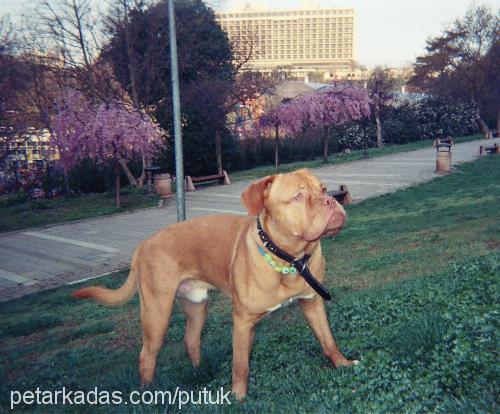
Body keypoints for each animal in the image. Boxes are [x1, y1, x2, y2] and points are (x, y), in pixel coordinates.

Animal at [73, 169, 356, 402]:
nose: (331, 200)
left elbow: (328, 340)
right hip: (157, 313)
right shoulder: (242, 321)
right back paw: (147, 392)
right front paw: (238, 396)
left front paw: (342, 363)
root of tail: (142, 245)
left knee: (190, 339)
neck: (289, 259)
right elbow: (240, 364)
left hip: (196, 306)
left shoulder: (312, 303)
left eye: (323, 188)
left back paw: (199, 370)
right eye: (298, 196)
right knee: (147, 354)